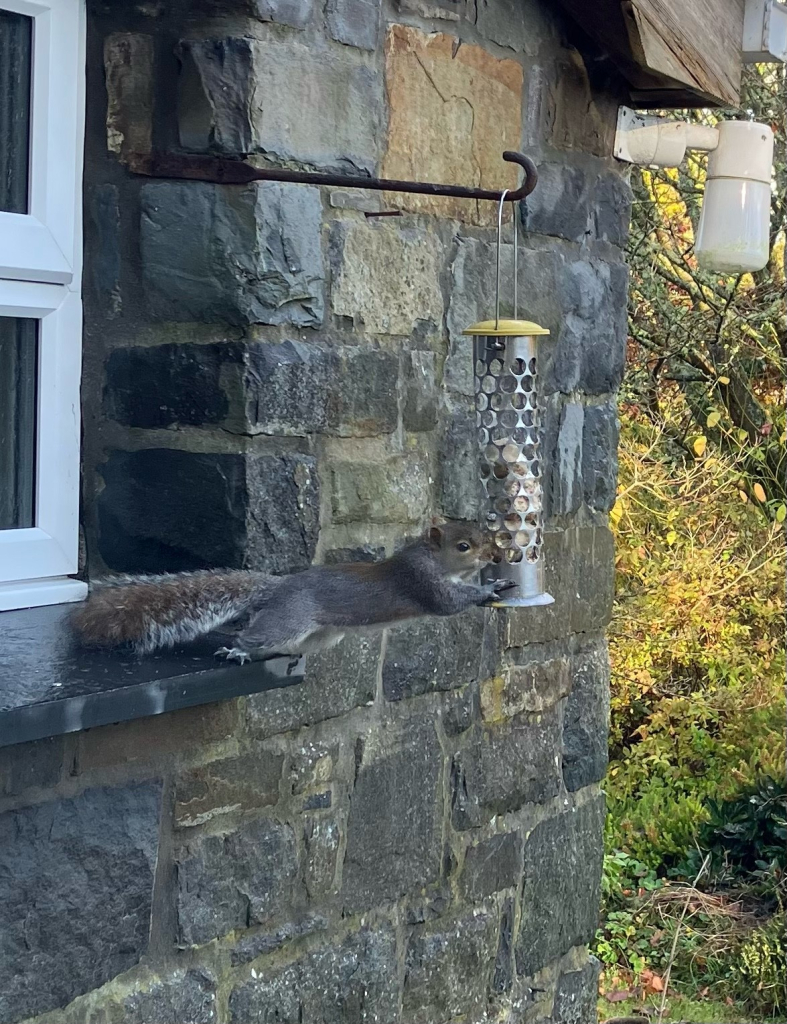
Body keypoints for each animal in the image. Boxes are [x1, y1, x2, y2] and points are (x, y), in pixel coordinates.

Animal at [70, 524, 515, 659]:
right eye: (464, 545)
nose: (495, 553)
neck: (435, 560)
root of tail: (280, 586)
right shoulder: (418, 578)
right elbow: (447, 602)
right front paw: (490, 588)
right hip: (287, 620)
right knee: (254, 635)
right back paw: (237, 651)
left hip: (318, 635)